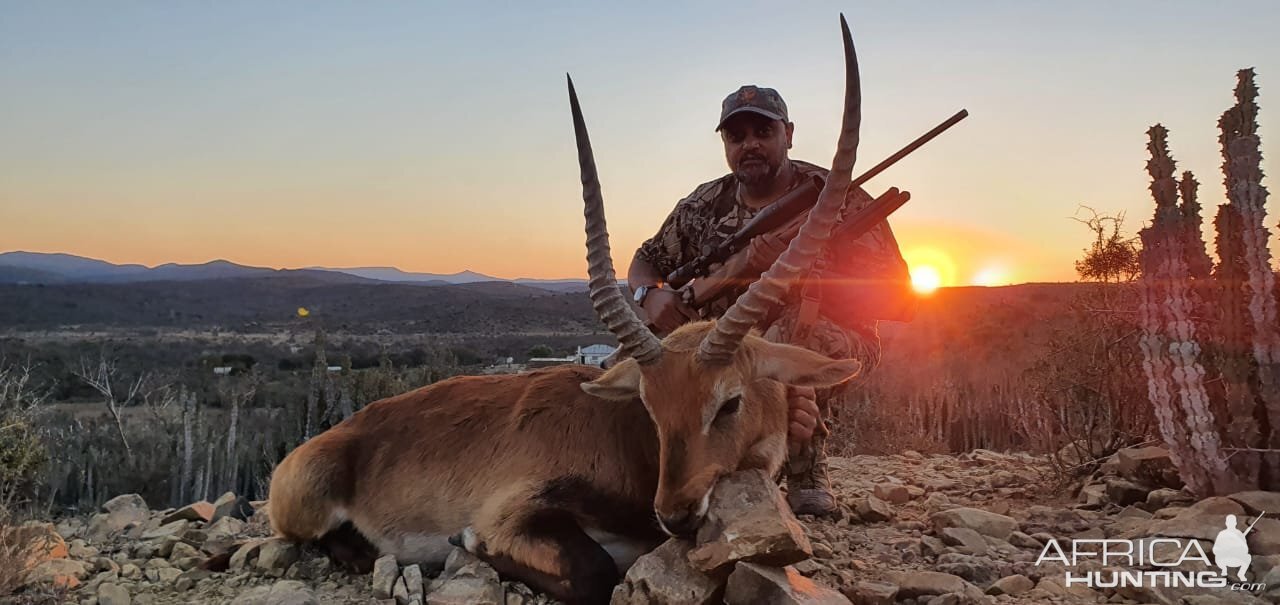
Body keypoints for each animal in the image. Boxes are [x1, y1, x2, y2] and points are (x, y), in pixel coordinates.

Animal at [267, 14, 870, 603]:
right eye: (650, 406)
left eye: (730, 401)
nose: (675, 515)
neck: (629, 444)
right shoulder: (513, 514)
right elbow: (591, 572)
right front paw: (469, 545)